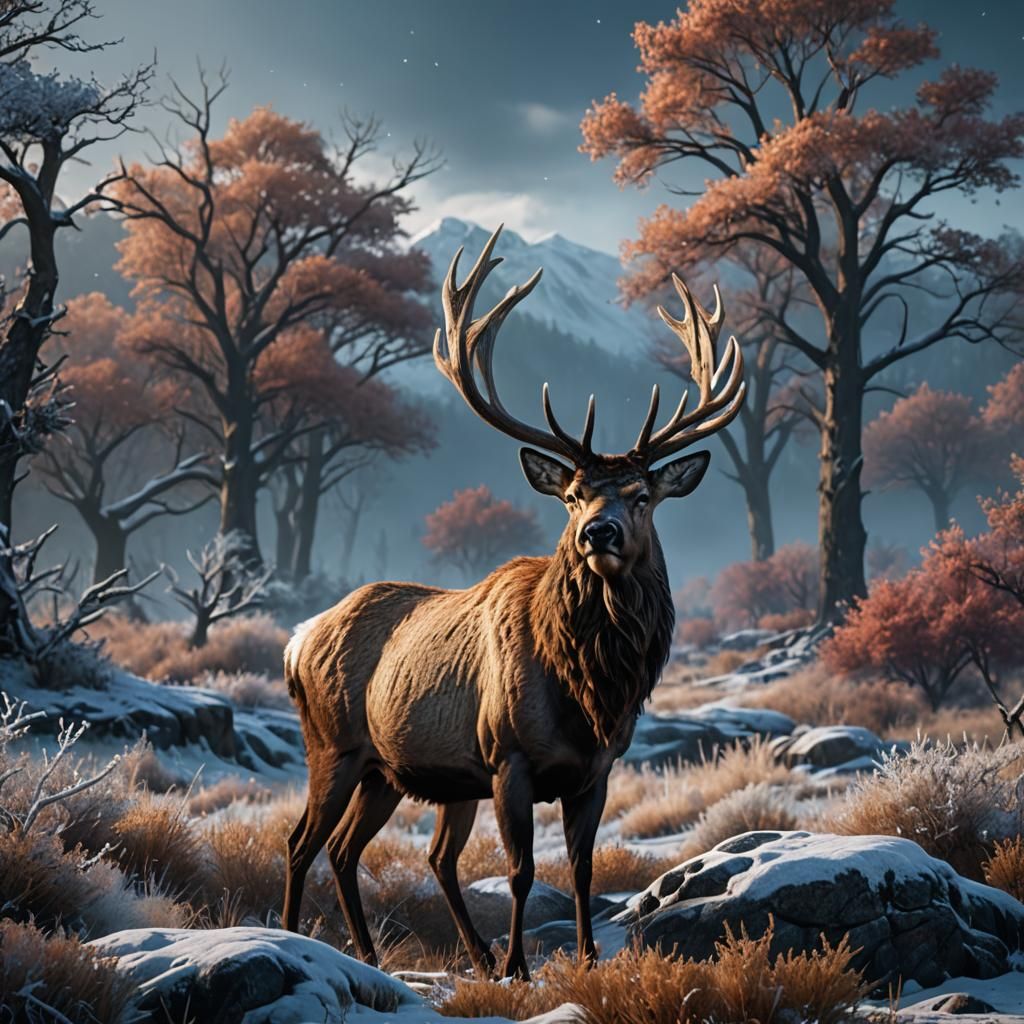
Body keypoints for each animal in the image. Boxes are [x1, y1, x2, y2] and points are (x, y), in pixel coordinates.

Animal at [281, 225, 745, 980]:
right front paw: (519, 969)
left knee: (375, 852)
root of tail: (297, 640)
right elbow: (522, 870)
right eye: (572, 495)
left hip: (396, 770)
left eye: (642, 495)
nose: (597, 533)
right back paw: (298, 940)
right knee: (303, 842)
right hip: (334, 742)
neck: (589, 689)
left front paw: (585, 959)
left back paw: (396, 956)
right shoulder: (508, 757)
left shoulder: (598, 768)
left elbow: (582, 870)